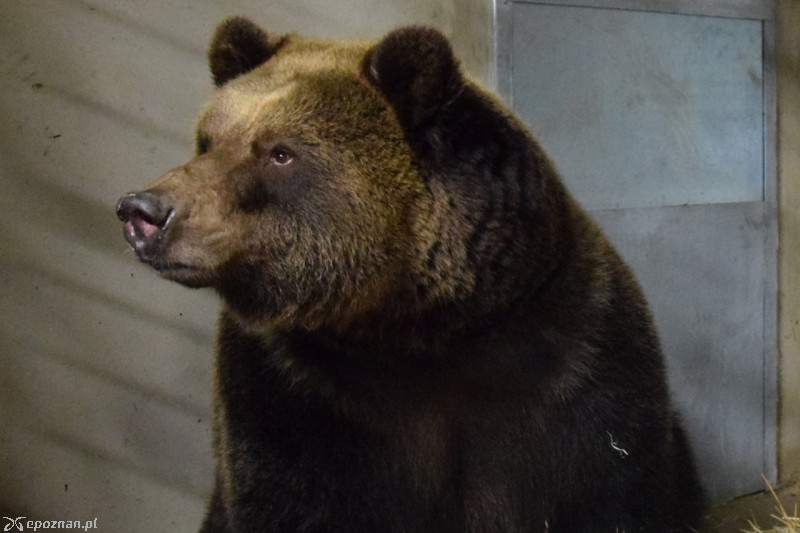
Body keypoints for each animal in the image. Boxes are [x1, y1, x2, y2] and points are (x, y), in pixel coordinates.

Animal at [115, 16, 704, 532]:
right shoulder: (293, 400)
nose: (143, 211)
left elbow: (611, 487)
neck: (414, 331)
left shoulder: (573, 371)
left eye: (280, 153)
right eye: (208, 140)